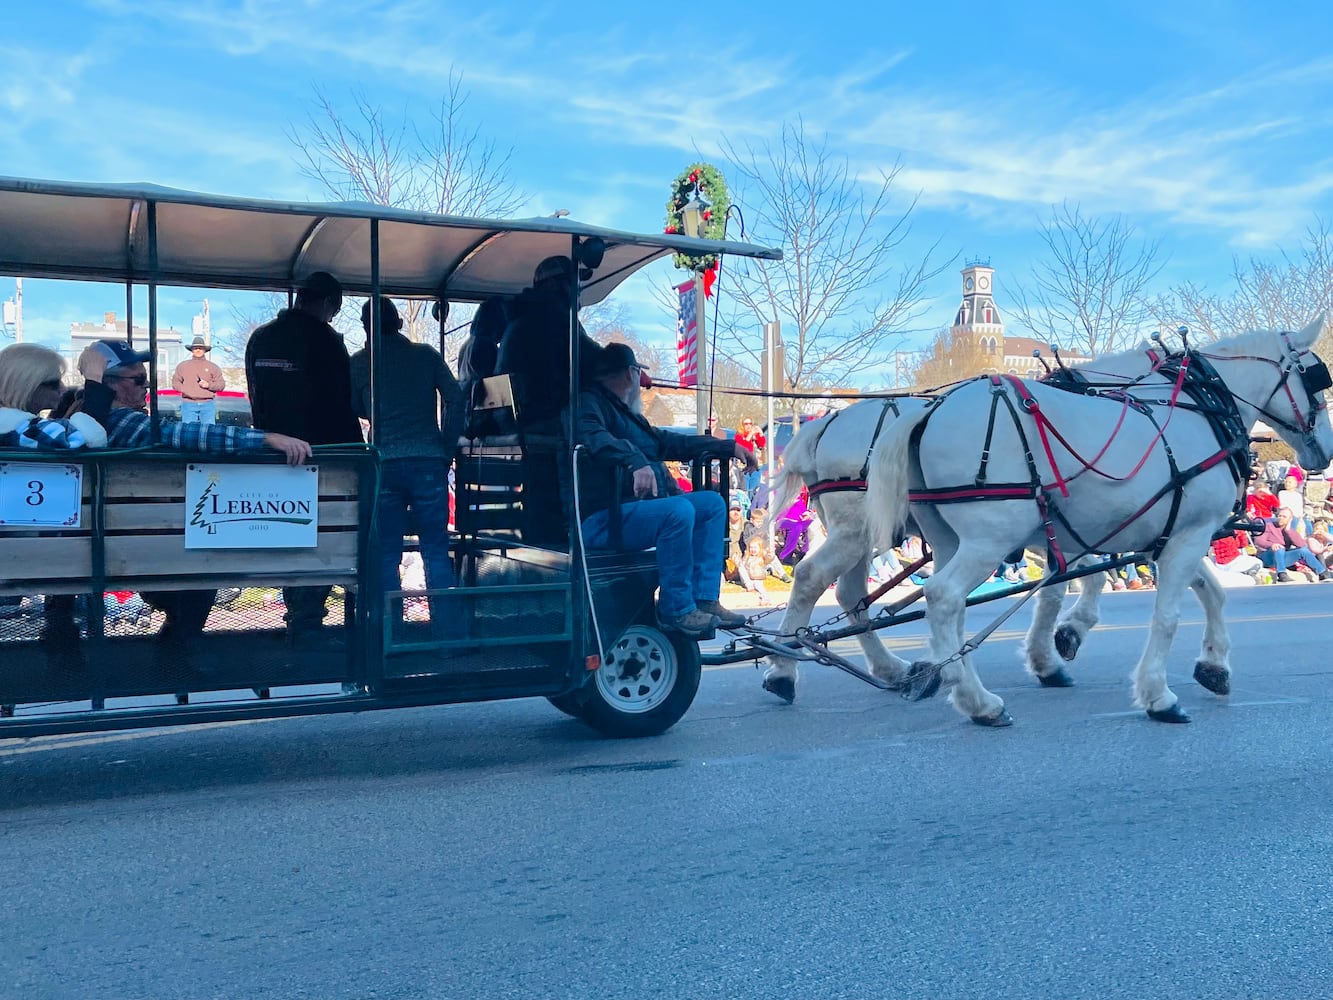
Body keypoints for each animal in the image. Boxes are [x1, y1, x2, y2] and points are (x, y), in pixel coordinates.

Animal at [762, 341, 1226, 709]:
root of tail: (826, 422)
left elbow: (1065, 585)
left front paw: (1051, 651)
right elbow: (1080, 580)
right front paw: (1064, 639)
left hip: (862, 534)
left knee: (849, 593)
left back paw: (887, 668)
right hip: (857, 532)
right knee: (814, 578)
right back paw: (787, 668)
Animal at [863, 321, 1333, 730]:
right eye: (1317, 380)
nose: (1325, 452)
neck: (1199, 408)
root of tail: (931, 411)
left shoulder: (1172, 533)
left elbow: (1211, 593)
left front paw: (1213, 665)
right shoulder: (1186, 535)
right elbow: (1165, 615)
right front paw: (1157, 695)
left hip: (948, 539)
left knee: (948, 609)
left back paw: (952, 681)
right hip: (990, 538)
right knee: (943, 597)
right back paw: (980, 703)